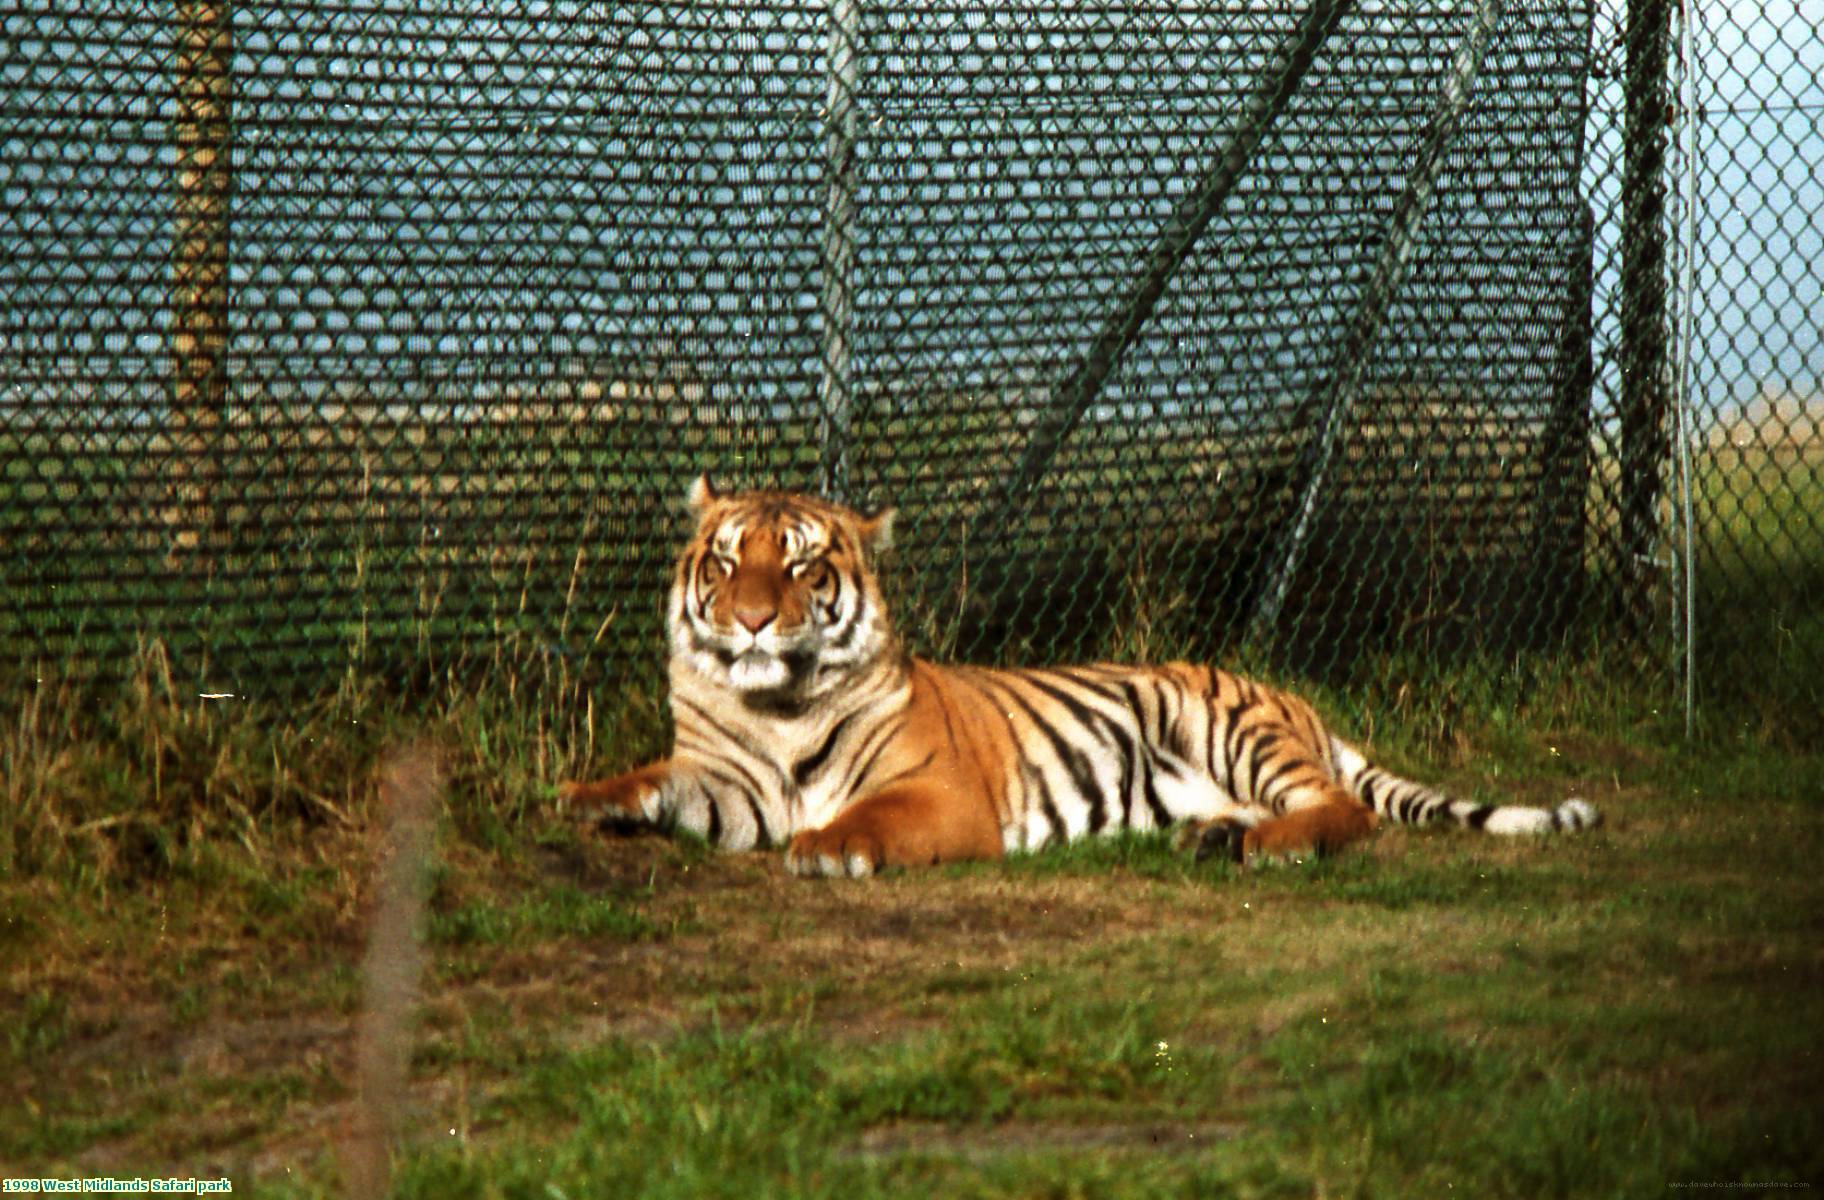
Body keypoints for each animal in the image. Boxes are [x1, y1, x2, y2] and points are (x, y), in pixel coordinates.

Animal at [554, 470, 1597, 875]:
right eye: (727, 563)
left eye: (806, 567)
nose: (753, 619)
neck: (777, 703)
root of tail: (1297, 700)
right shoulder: (730, 778)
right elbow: (661, 780)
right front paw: (587, 798)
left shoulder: (937, 792)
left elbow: (867, 815)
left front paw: (827, 847)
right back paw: (1214, 839)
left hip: (1229, 726)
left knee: (1346, 810)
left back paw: (1271, 845)